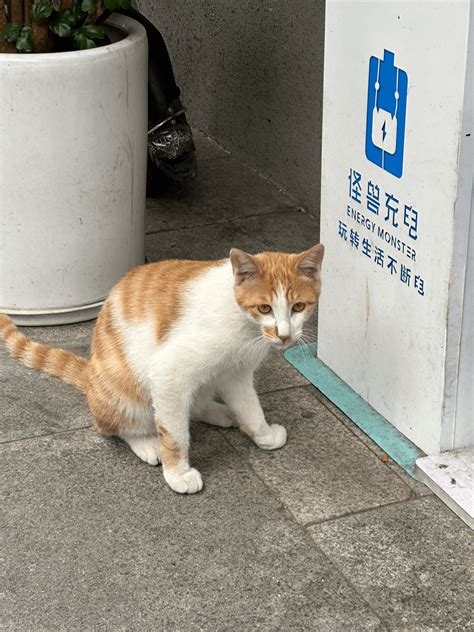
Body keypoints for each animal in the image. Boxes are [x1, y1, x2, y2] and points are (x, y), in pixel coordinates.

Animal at [0, 244, 324, 496]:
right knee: (117, 424)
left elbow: (250, 408)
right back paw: (146, 441)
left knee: (195, 405)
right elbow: (174, 433)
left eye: (298, 307)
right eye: (265, 308)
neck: (243, 324)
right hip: (124, 387)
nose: (284, 335)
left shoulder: (236, 372)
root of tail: (90, 377)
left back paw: (220, 412)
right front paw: (178, 473)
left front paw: (263, 434)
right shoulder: (170, 372)